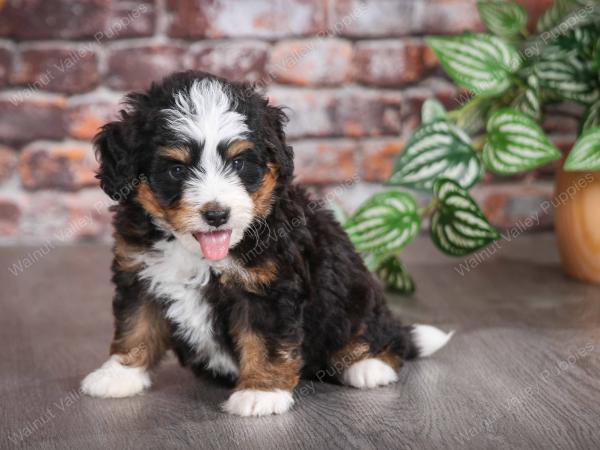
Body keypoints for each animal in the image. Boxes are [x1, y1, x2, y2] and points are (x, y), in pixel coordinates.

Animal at [81, 71, 454, 418]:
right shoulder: (140, 272)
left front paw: (261, 392)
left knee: (381, 333)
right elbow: (136, 325)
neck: (198, 254)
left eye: (238, 163)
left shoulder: (269, 288)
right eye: (176, 170)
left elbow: (265, 341)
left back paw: (368, 364)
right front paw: (119, 373)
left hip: (355, 291)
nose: (216, 214)